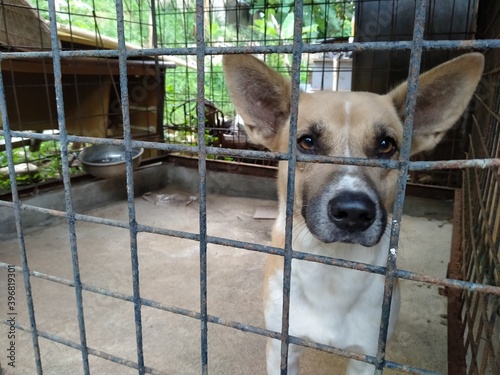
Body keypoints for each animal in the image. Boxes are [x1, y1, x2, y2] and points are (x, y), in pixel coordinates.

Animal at [223, 53, 484, 375]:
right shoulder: (281, 347)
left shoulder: (367, 357)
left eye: (386, 145)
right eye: (307, 142)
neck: (333, 268)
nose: (353, 213)